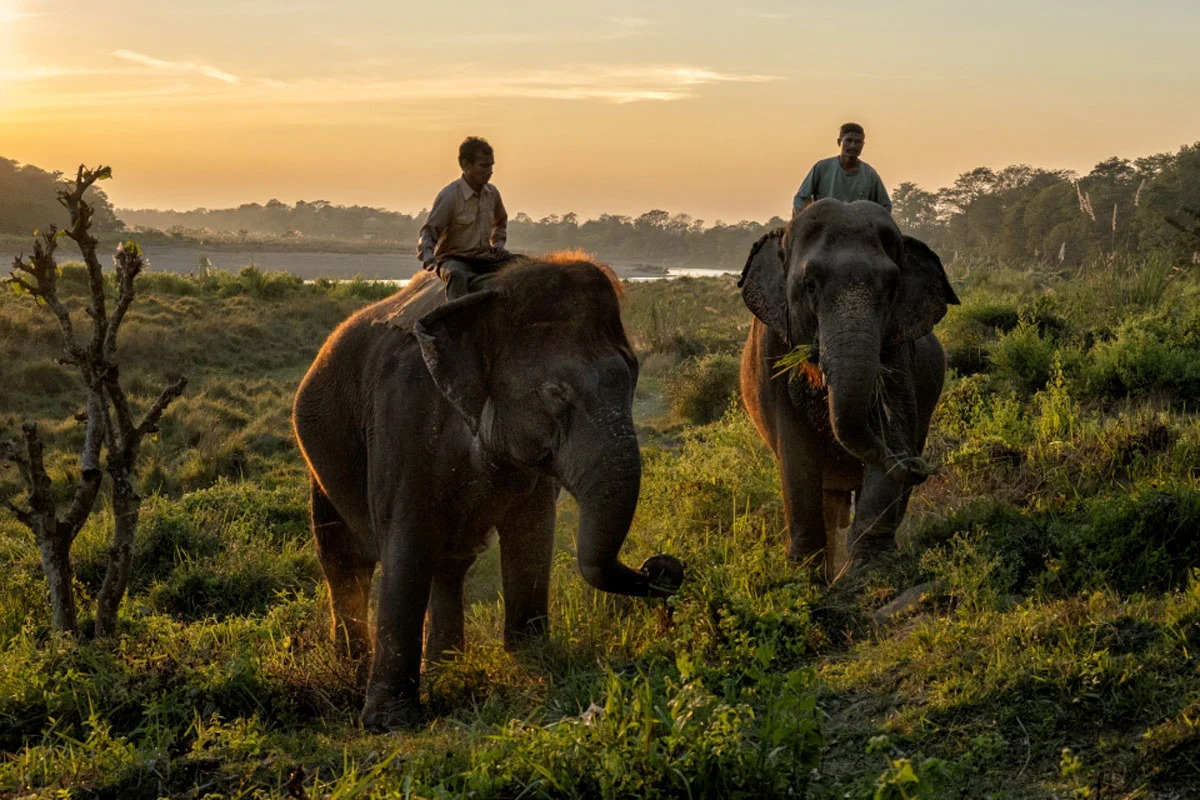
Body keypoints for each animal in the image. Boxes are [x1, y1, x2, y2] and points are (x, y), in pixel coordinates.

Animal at [292, 256, 684, 729]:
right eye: (556, 394)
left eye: (632, 378)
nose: (661, 566)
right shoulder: (402, 419)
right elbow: (406, 543)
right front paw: (391, 724)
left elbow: (532, 535)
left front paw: (534, 664)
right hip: (321, 462)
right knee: (345, 562)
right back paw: (352, 673)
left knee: (449, 565)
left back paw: (447, 669)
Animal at [738, 199, 959, 577]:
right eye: (810, 285)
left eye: (892, 288)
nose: (921, 466)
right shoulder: (772, 349)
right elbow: (795, 448)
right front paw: (803, 576)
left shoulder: (899, 350)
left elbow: (894, 425)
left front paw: (867, 571)